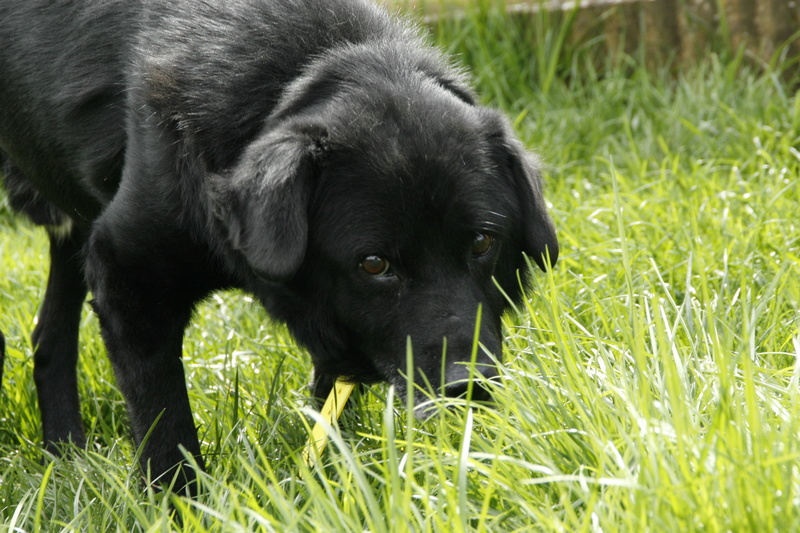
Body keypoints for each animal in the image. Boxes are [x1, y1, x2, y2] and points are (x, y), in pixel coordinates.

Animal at [0, 0, 560, 490]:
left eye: (483, 242)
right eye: (374, 264)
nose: (467, 388)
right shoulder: (125, 273)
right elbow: (165, 427)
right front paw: (178, 506)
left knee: (49, 336)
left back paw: (65, 455)